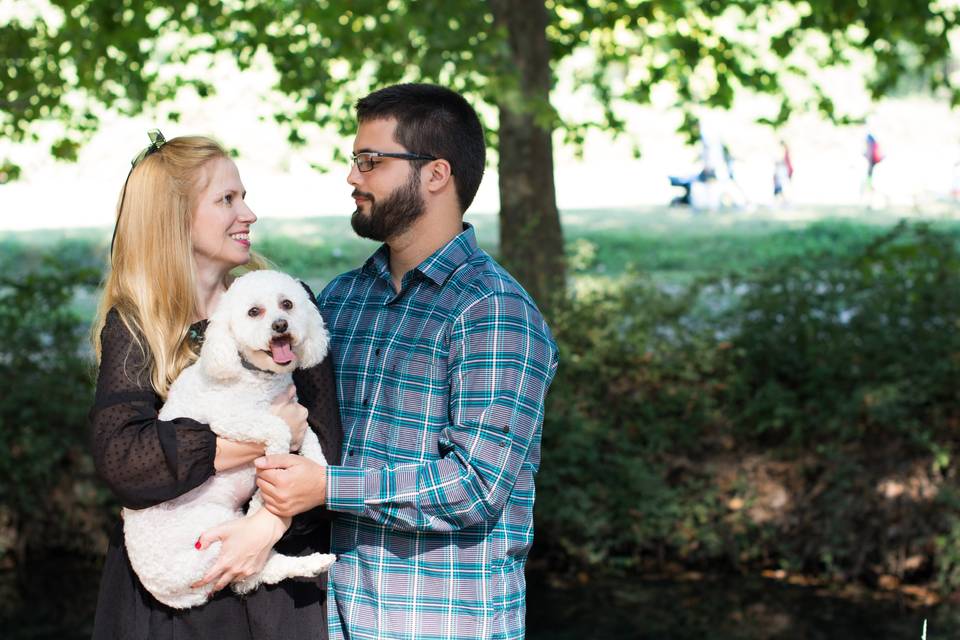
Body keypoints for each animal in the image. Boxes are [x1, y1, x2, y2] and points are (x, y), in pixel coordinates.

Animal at [123, 268, 338, 608]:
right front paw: (276, 458)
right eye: (254, 311)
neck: (254, 374)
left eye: (287, 304)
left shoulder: (296, 412)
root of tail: (168, 593)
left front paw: (315, 471)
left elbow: (310, 438)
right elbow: (278, 427)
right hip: (212, 534)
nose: (281, 325)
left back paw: (313, 562)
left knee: (260, 572)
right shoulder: (230, 419)